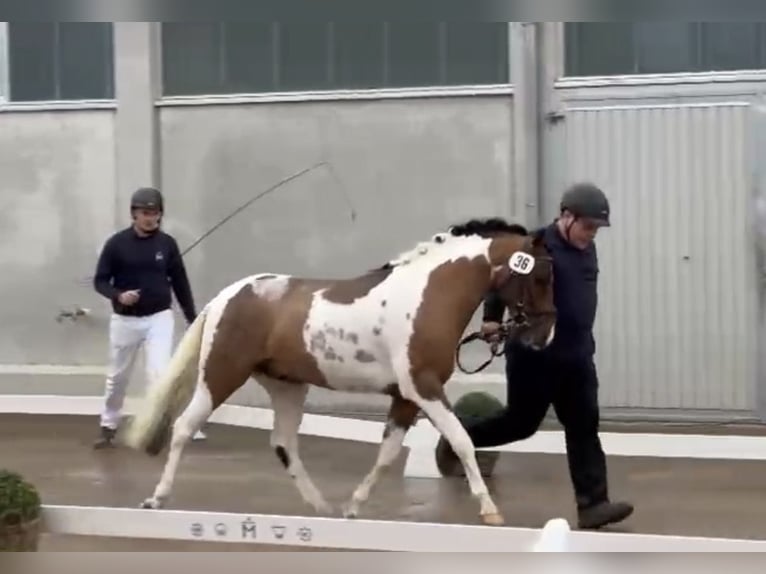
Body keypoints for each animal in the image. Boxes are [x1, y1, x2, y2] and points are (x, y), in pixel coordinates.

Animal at [123, 217, 557, 527]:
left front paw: (353, 506)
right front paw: (490, 510)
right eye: (538, 276)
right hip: (221, 375)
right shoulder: (424, 388)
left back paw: (322, 507)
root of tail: (226, 297)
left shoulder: (404, 397)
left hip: (286, 386)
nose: (545, 335)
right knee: (183, 427)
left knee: (284, 443)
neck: (427, 296)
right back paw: (156, 498)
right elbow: (463, 440)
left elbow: (388, 453)